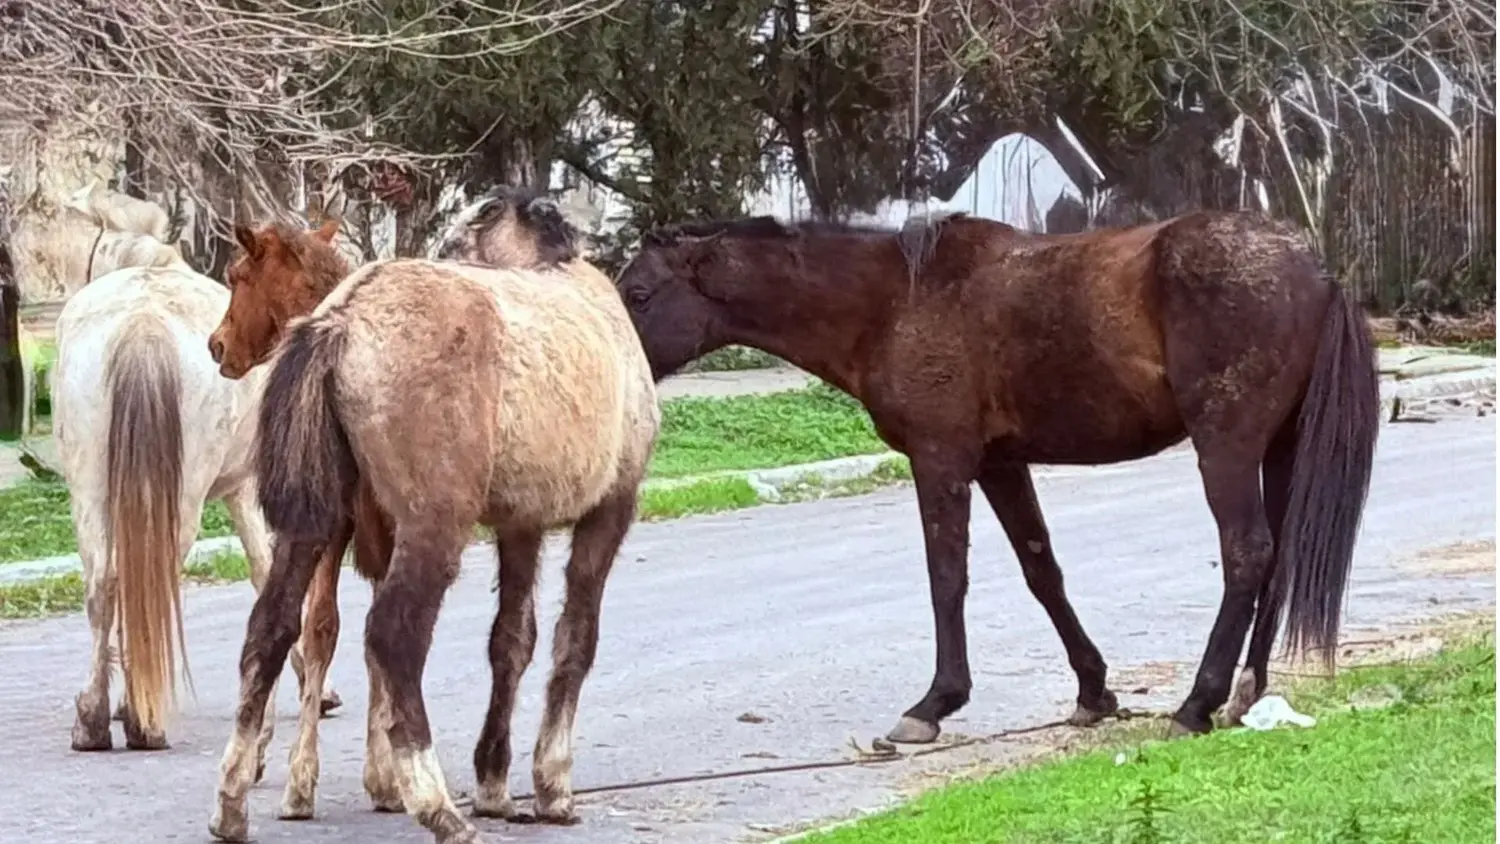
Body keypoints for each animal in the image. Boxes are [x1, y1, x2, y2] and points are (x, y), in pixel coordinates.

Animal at [50, 210, 328, 766]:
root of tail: (141, 324)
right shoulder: (249, 489)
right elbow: (266, 569)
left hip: (91, 489)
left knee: (104, 584)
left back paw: (96, 717)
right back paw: (141, 720)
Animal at [209, 185, 659, 844]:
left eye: (240, 277)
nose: (217, 347)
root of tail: (339, 322)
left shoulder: (520, 523)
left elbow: (512, 641)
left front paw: (495, 783)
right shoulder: (610, 507)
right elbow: (575, 638)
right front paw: (551, 785)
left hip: (312, 523)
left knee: (272, 627)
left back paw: (232, 800)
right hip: (431, 526)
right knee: (393, 635)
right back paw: (436, 803)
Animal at [614, 210, 1381, 742]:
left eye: (640, 293)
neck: (895, 302)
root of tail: (1317, 272)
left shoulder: (941, 460)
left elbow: (946, 577)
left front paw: (934, 703)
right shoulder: (1001, 465)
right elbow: (1043, 573)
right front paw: (1093, 692)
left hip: (1226, 448)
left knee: (1247, 554)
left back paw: (1198, 703)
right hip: (1278, 448)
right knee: (1276, 559)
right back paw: (1247, 691)